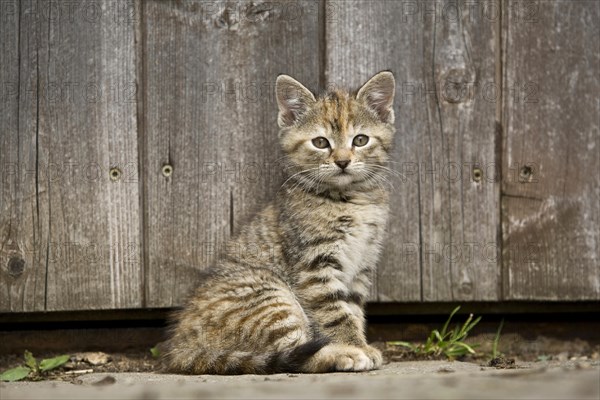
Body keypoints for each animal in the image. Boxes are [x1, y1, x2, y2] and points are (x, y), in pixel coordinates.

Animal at [164, 70, 396, 374]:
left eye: (360, 140)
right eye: (320, 142)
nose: (343, 161)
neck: (351, 199)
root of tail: (181, 346)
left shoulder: (361, 266)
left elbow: (353, 310)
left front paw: (360, 343)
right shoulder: (314, 265)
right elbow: (335, 313)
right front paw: (352, 347)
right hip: (270, 296)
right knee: (295, 355)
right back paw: (337, 355)